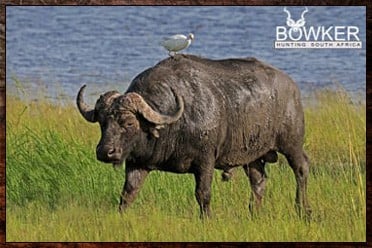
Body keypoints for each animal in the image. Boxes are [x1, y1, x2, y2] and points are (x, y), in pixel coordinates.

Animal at [76, 54, 310, 219]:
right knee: (258, 181)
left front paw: (206, 219)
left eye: (129, 123)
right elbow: (128, 193)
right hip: (252, 156)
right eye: (102, 122)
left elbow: (202, 193)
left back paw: (303, 211)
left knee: (301, 169)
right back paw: (253, 213)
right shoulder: (137, 163)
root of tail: (292, 87)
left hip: (292, 144)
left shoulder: (205, 160)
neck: (174, 125)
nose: (105, 152)